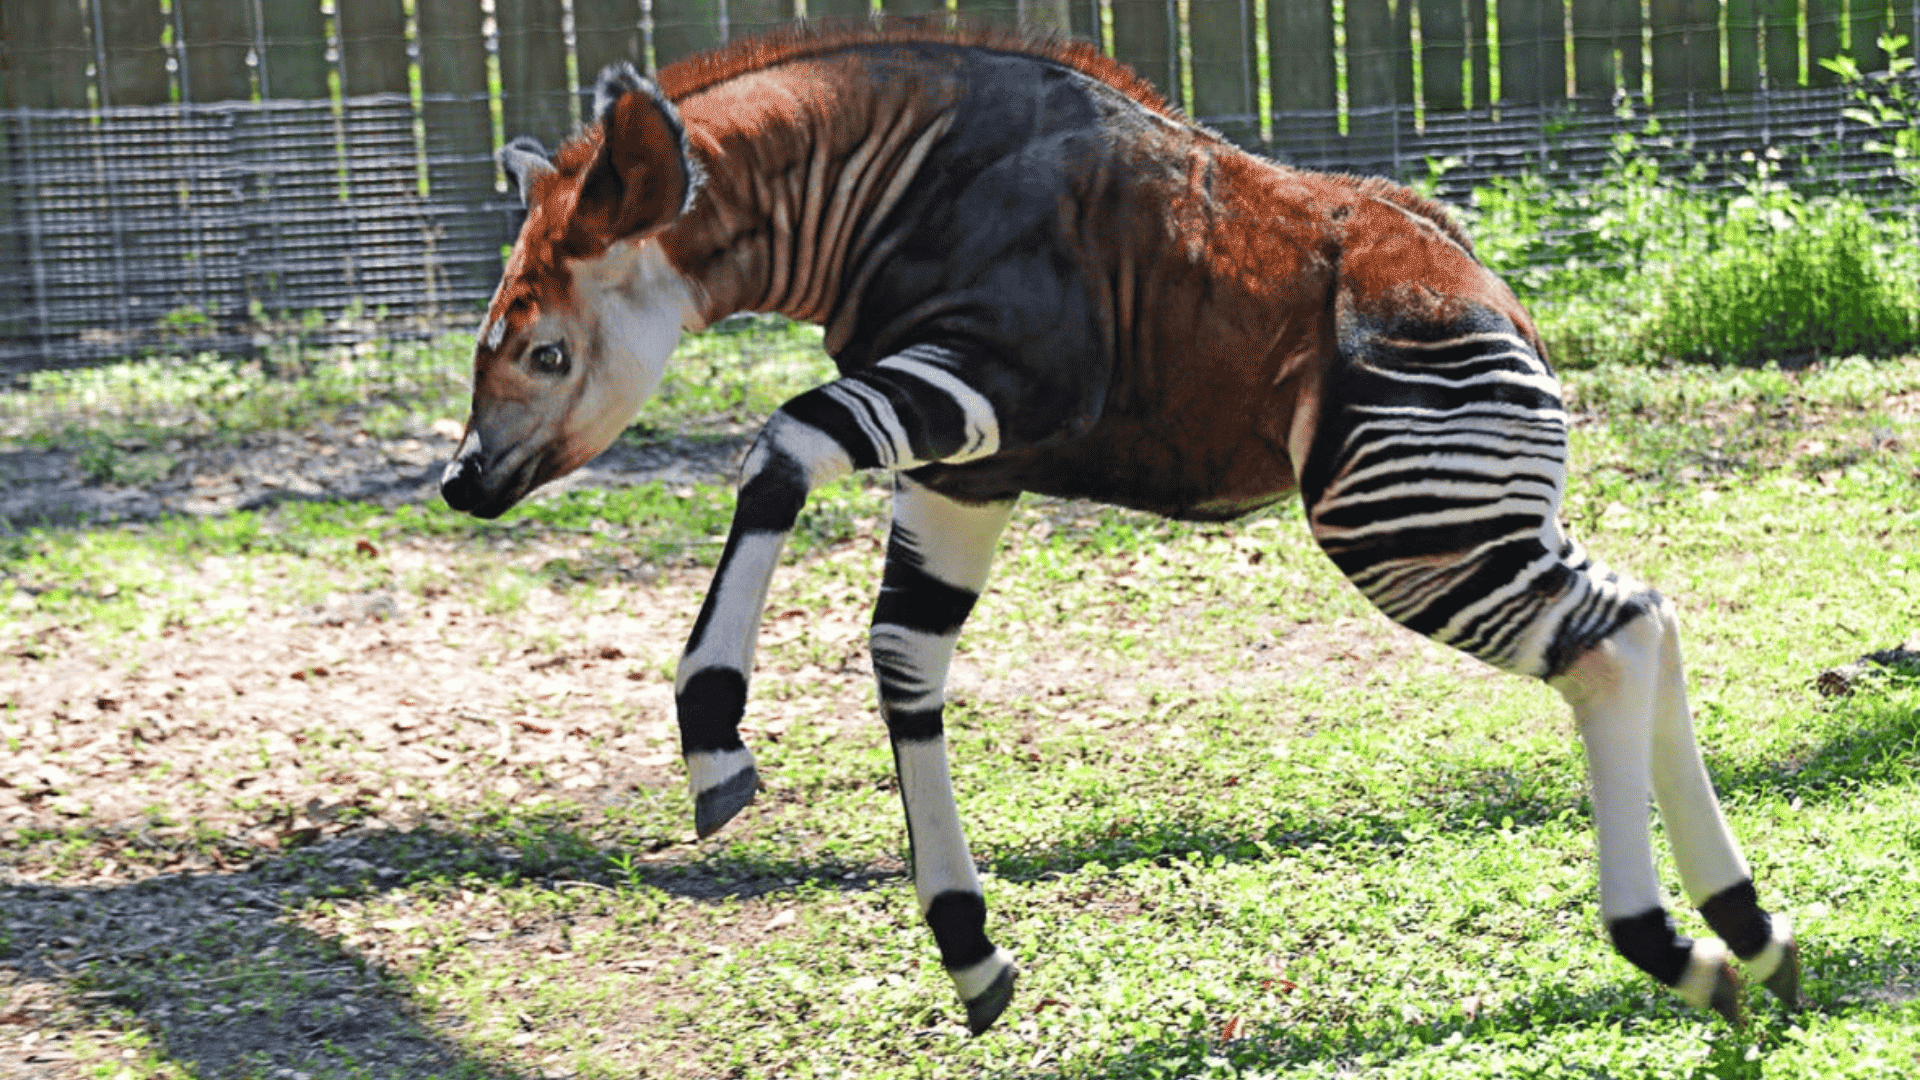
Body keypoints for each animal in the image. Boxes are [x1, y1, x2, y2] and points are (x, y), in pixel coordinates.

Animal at [438, 20, 1800, 1035]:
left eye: (545, 350)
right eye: (488, 346)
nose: (463, 484)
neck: (884, 183)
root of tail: (1490, 294)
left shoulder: (995, 382)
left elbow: (779, 451)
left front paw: (714, 742)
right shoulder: (971, 461)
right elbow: (906, 657)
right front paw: (972, 953)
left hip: (1404, 531)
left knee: (1602, 646)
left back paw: (1668, 946)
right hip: (1457, 514)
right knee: (1643, 615)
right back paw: (1751, 934)